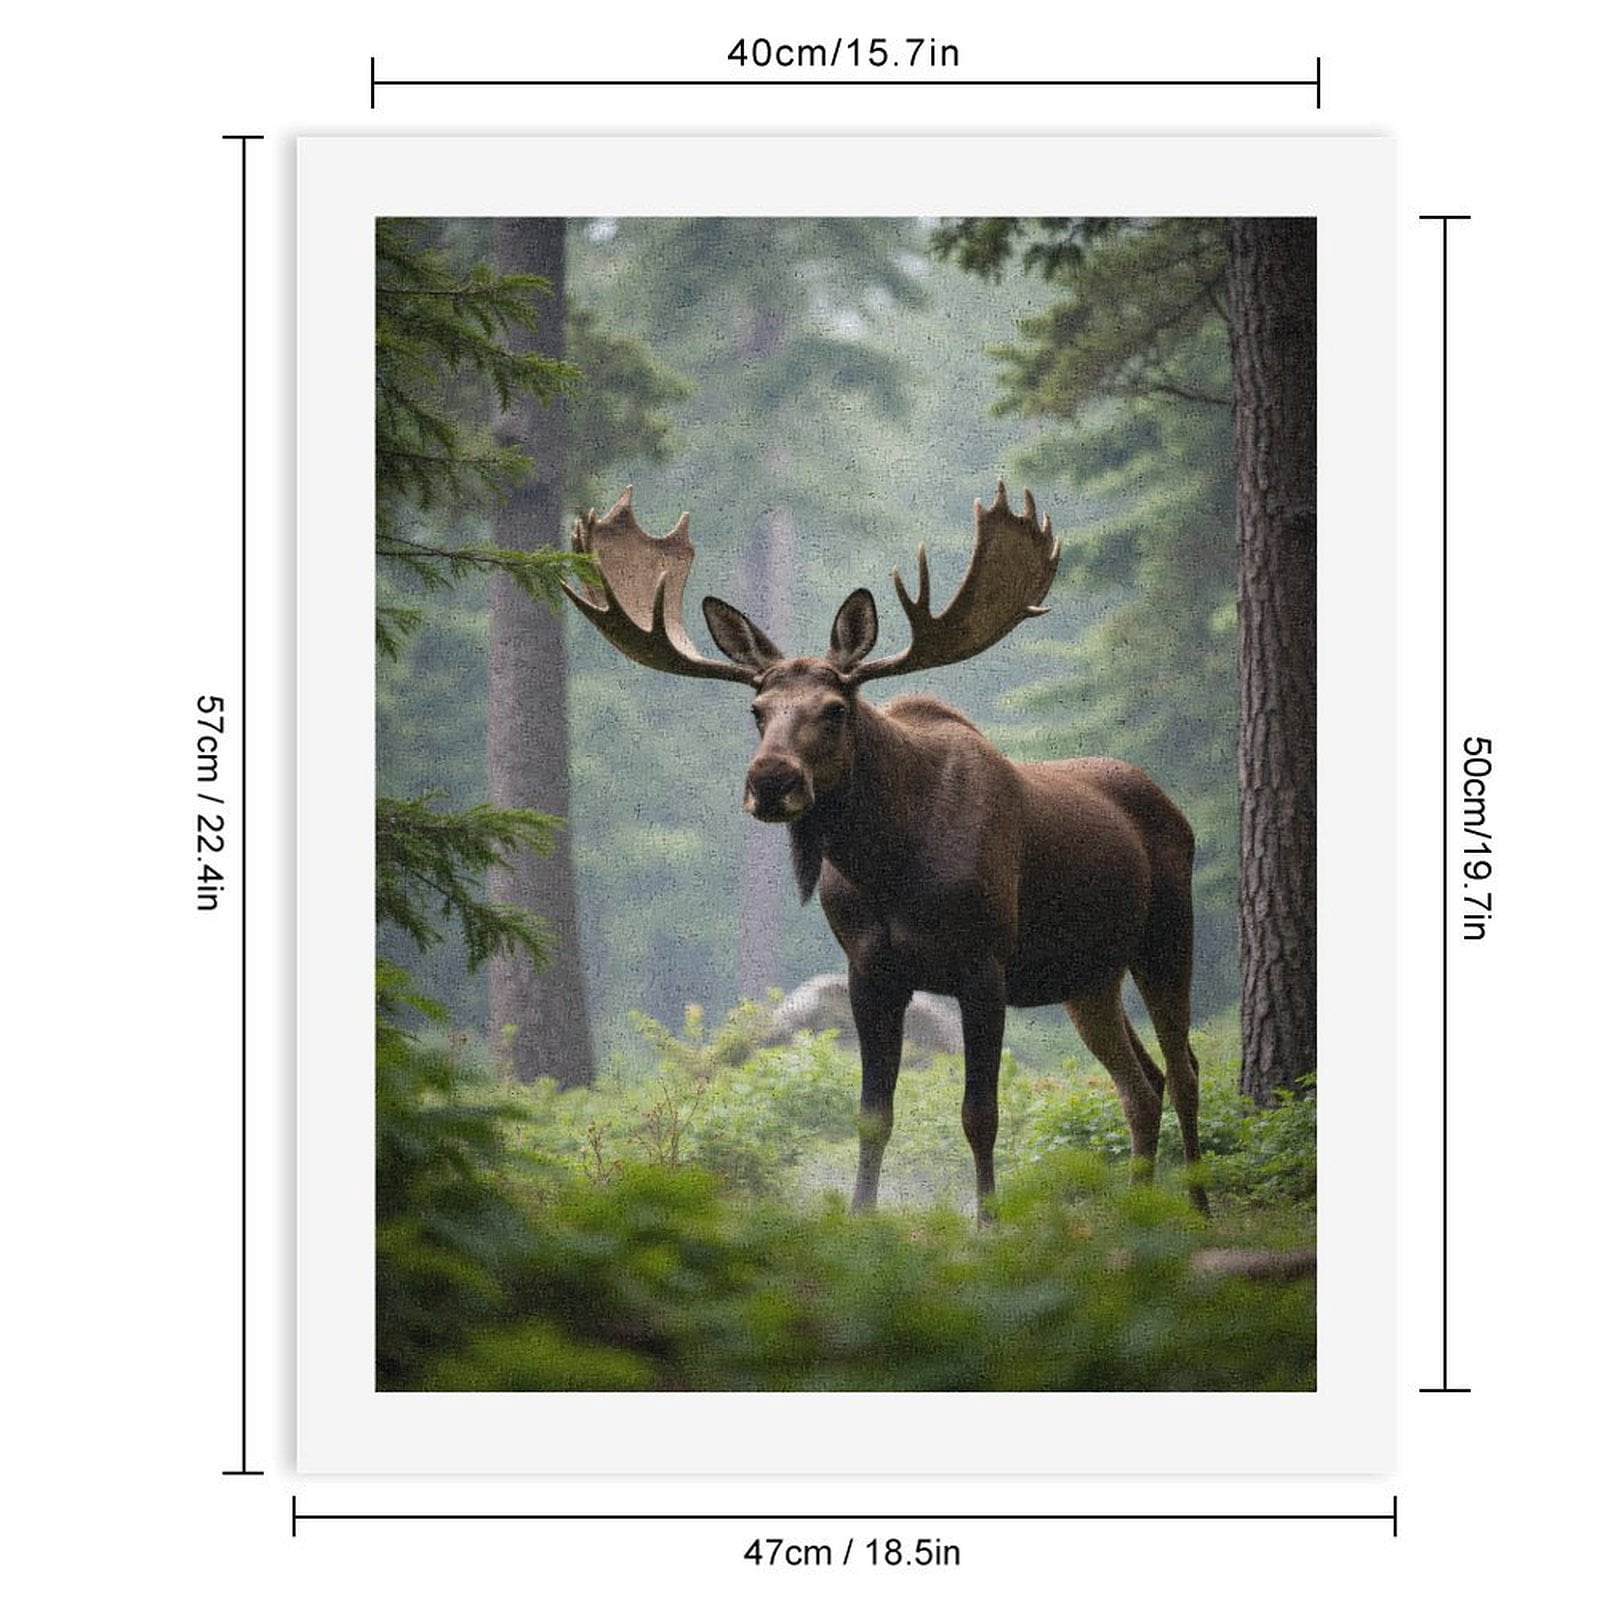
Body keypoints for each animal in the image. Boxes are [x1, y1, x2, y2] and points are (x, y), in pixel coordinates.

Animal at [564, 483, 1208, 1216]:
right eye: (757, 711)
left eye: (834, 709)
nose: (771, 781)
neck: (891, 865)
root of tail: (1172, 808)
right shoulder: (869, 970)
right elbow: (874, 1113)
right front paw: (860, 1217)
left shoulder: (984, 963)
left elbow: (980, 1113)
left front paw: (987, 1223)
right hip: (1089, 976)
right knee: (1142, 1083)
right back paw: (1139, 1207)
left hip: (1166, 934)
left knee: (1184, 1067)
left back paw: (1197, 1207)